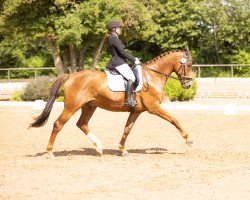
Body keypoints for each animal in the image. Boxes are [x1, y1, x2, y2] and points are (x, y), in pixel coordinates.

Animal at [29, 48, 193, 156]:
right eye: (189, 65)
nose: (188, 84)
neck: (152, 76)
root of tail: (71, 76)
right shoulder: (154, 108)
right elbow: (174, 119)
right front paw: (188, 141)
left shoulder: (136, 111)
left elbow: (127, 129)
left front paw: (122, 149)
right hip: (72, 106)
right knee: (58, 124)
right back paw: (49, 151)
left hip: (89, 106)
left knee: (82, 124)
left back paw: (99, 147)